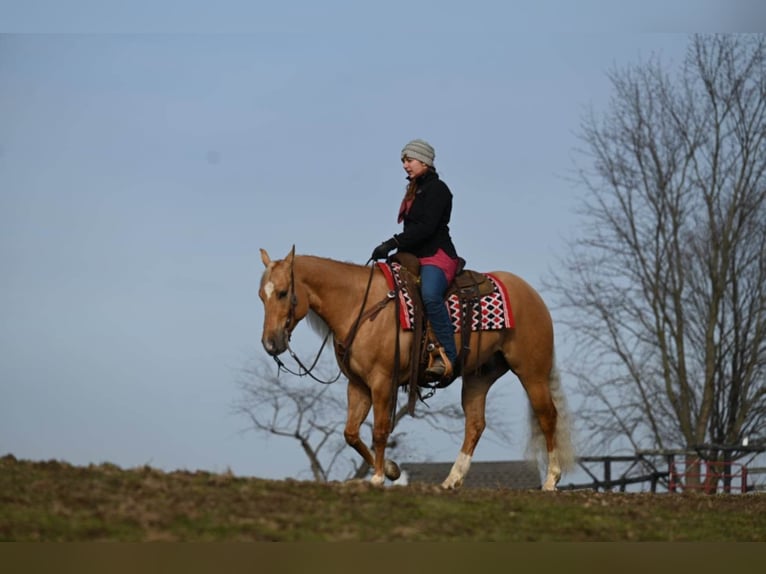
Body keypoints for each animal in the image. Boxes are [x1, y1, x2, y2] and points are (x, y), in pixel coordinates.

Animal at [260, 248, 576, 490]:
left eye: (283, 293)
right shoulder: (358, 384)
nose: (270, 343)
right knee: (475, 424)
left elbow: (380, 429)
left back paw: (551, 480)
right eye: (261, 296)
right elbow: (350, 433)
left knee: (547, 416)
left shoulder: (381, 380)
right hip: (479, 377)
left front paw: (377, 477)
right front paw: (391, 470)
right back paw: (451, 480)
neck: (360, 306)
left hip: (532, 372)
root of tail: (531, 294)